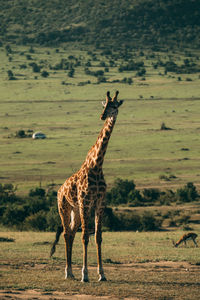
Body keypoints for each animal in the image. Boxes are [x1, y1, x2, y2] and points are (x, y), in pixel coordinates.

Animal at [50, 90, 123, 282]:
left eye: (114, 105)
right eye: (104, 105)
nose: (103, 116)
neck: (96, 165)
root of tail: (59, 190)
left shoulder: (99, 203)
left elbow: (98, 237)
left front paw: (102, 274)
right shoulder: (85, 202)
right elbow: (85, 236)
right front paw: (85, 274)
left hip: (75, 211)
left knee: (70, 233)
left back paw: (70, 272)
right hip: (64, 208)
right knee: (67, 233)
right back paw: (68, 272)